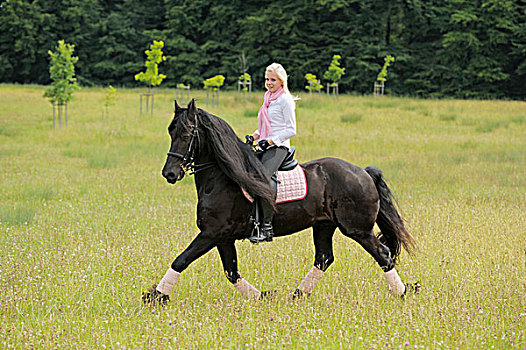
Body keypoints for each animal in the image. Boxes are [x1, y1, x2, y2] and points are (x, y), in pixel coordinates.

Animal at [144, 100, 416, 304]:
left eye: (187, 134)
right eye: (170, 132)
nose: (170, 174)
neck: (223, 177)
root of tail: (364, 172)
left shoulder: (212, 233)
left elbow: (181, 260)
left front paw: (155, 297)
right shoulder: (221, 236)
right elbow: (231, 272)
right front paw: (264, 296)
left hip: (357, 229)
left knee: (382, 254)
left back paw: (403, 292)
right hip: (324, 225)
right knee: (324, 258)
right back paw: (296, 295)